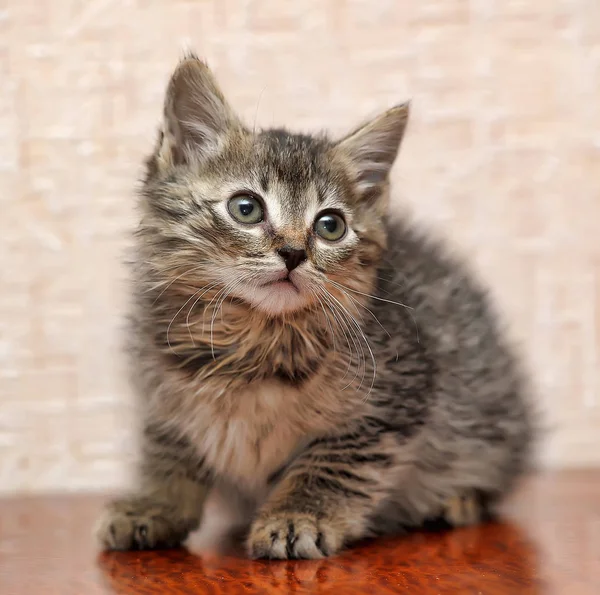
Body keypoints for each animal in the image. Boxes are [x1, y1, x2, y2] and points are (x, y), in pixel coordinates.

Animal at [97, 54, 536, 560]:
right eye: (246, 208)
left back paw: (457, 502)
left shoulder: (393, 400)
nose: (292, 253)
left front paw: (297, 516)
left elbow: (329, 466)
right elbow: (166, 453)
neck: (251, 339)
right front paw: (152, 506)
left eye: (330, 225)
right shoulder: (162, 394)